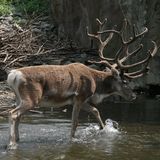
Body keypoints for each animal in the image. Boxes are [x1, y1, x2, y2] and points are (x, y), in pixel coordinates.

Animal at [6, 18, 157, 149]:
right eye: (125, 81)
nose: (133, 96)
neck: (96, 84)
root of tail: (13, 75)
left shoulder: (80, 100)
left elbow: (95, 111)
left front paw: (104, 129)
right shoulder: (80, 96)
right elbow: (75, 122)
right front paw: (72, 140)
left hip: (18, 97)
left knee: (18, 115)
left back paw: (17, 140)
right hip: (32, 98)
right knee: (13, 113)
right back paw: (11, 144)